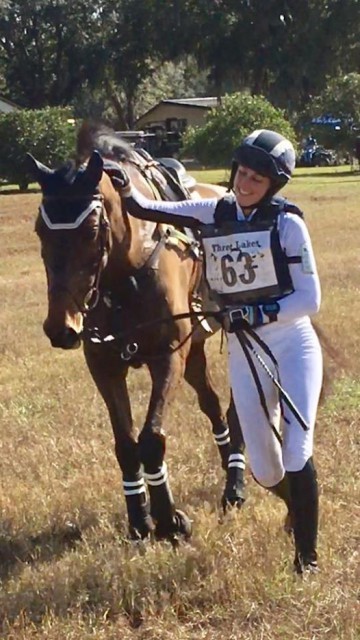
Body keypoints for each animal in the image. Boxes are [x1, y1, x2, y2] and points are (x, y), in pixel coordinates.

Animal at [27, 124, 245, 544]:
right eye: (40, 228)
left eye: (91, 229)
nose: (61, 327)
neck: (125, 272)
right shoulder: (104, 365)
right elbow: (127, 444)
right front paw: (139, 519)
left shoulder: (167, 358)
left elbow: (151, 439)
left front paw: (169, 519)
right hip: (193, 352)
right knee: (212, 404)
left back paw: (236, 482)